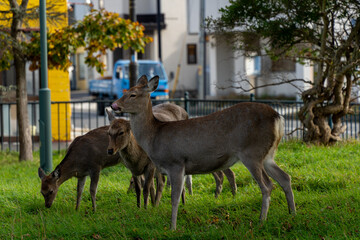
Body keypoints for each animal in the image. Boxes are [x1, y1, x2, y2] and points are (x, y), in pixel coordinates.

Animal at [112, 76, 296, 230]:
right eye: (125, 91)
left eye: (133, 94)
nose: (114, 105)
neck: (154, 137)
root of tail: (278, 117)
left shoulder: (175, 163)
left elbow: (174, 198)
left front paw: (172, 227)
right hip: (268, 155)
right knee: (285, 178)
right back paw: (292, 214)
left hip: (252, 153)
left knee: (267, 185)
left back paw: (261, 221)